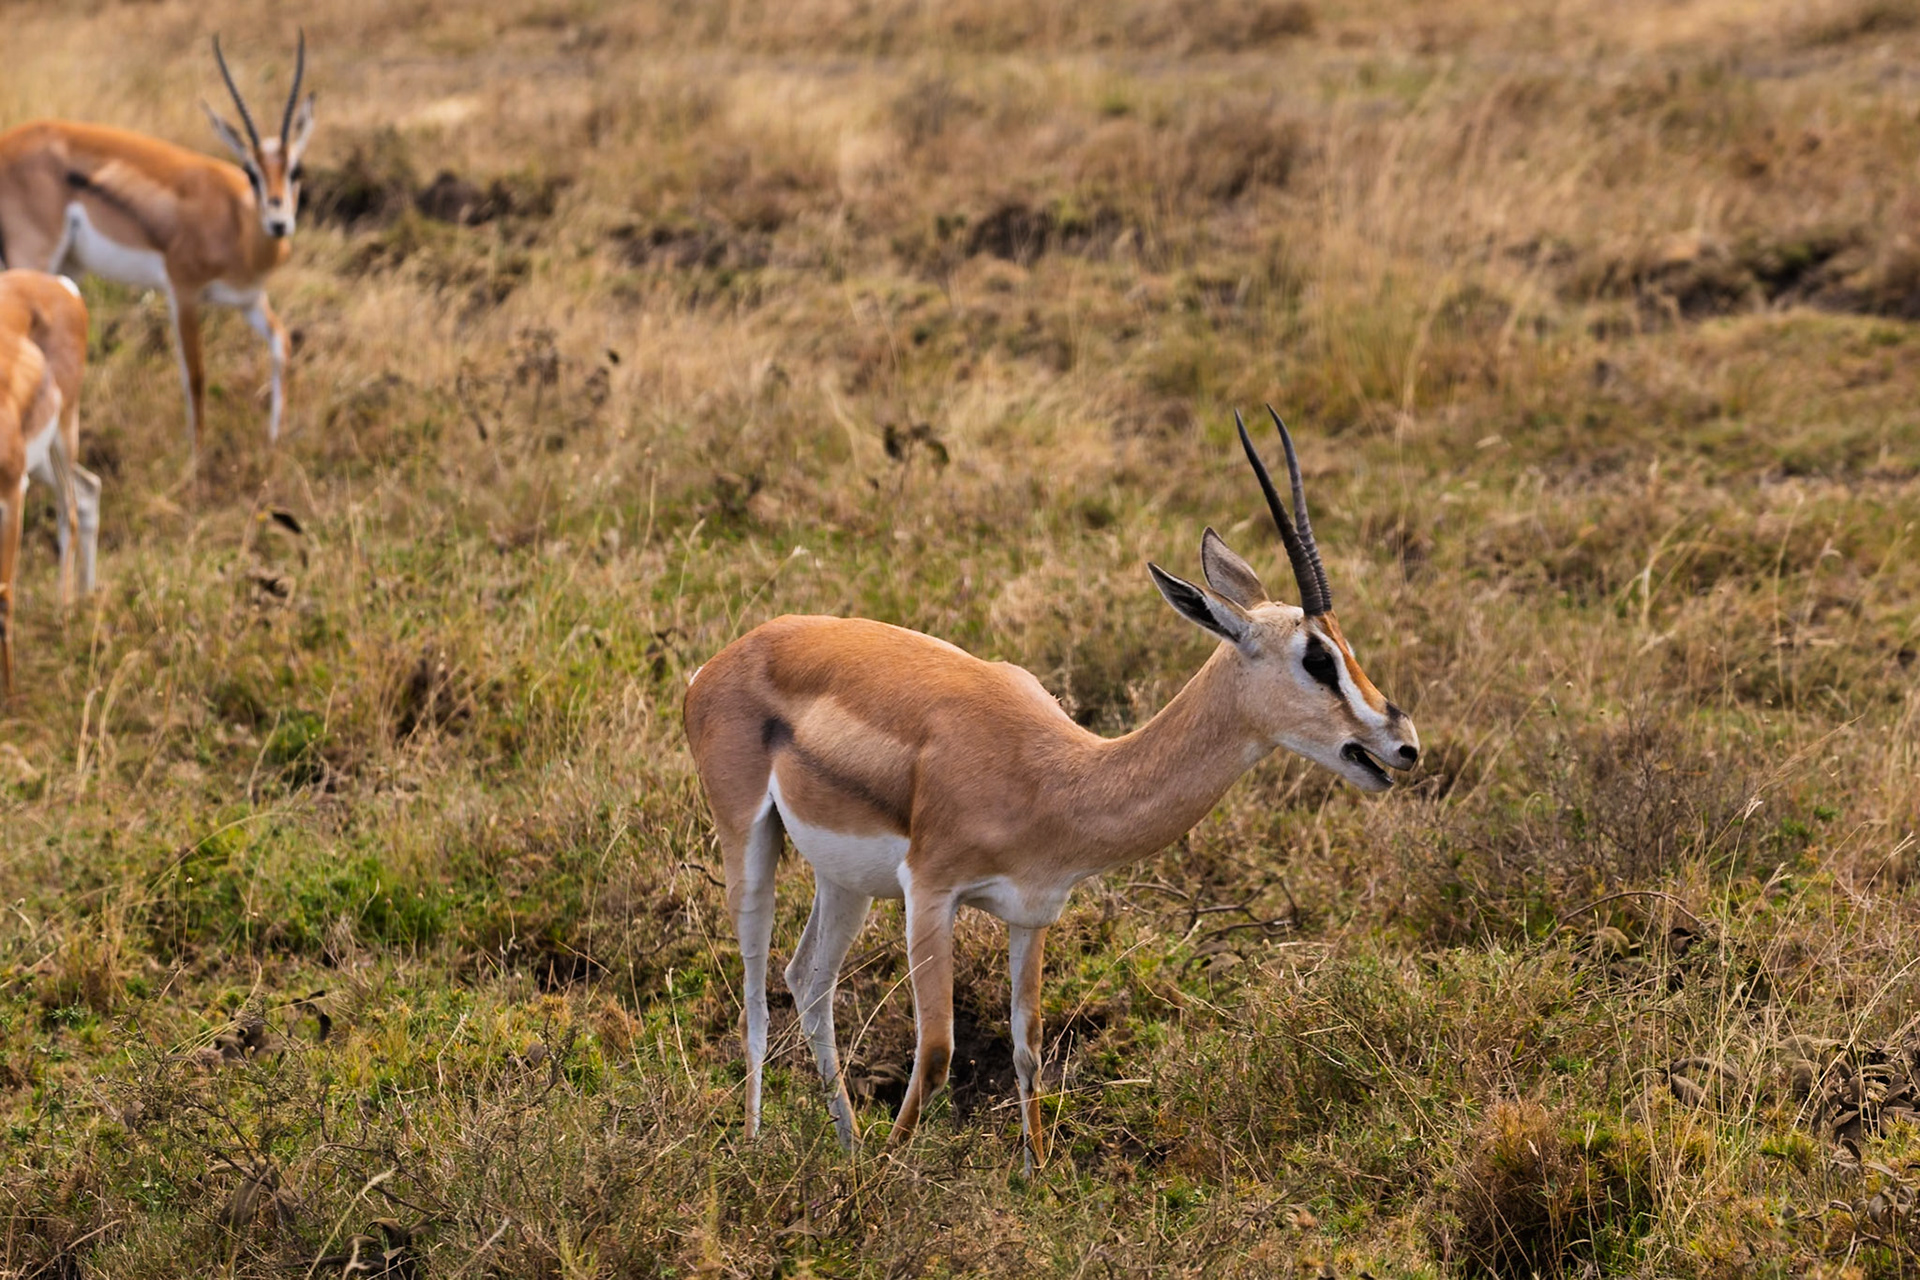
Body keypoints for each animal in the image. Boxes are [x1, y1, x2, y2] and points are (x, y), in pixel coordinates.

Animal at [0, 32, 313, 452]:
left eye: (296, 170)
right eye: (251, 172)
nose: (279, 223)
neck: (238, 223)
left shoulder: (249, 300)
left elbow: (282, 344)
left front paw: (275, 441)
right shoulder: (183, 292)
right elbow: (195, 376)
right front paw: (197, 457)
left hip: (65, 271)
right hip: (31, 259)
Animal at [683, 409, 1421, 1165]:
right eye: (1316, 658)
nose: (1403, 744)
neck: (1058, 775)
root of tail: (724, 659)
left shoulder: (1031, 912)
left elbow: (1029, 1048)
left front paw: (1035, 1173)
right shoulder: (930, 892)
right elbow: (938, 1050)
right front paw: (888, 1172)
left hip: (845, 882)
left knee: (808, 980)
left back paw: (849, 1145)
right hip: (750, 845)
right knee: (755, 989)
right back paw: (759, 1140)